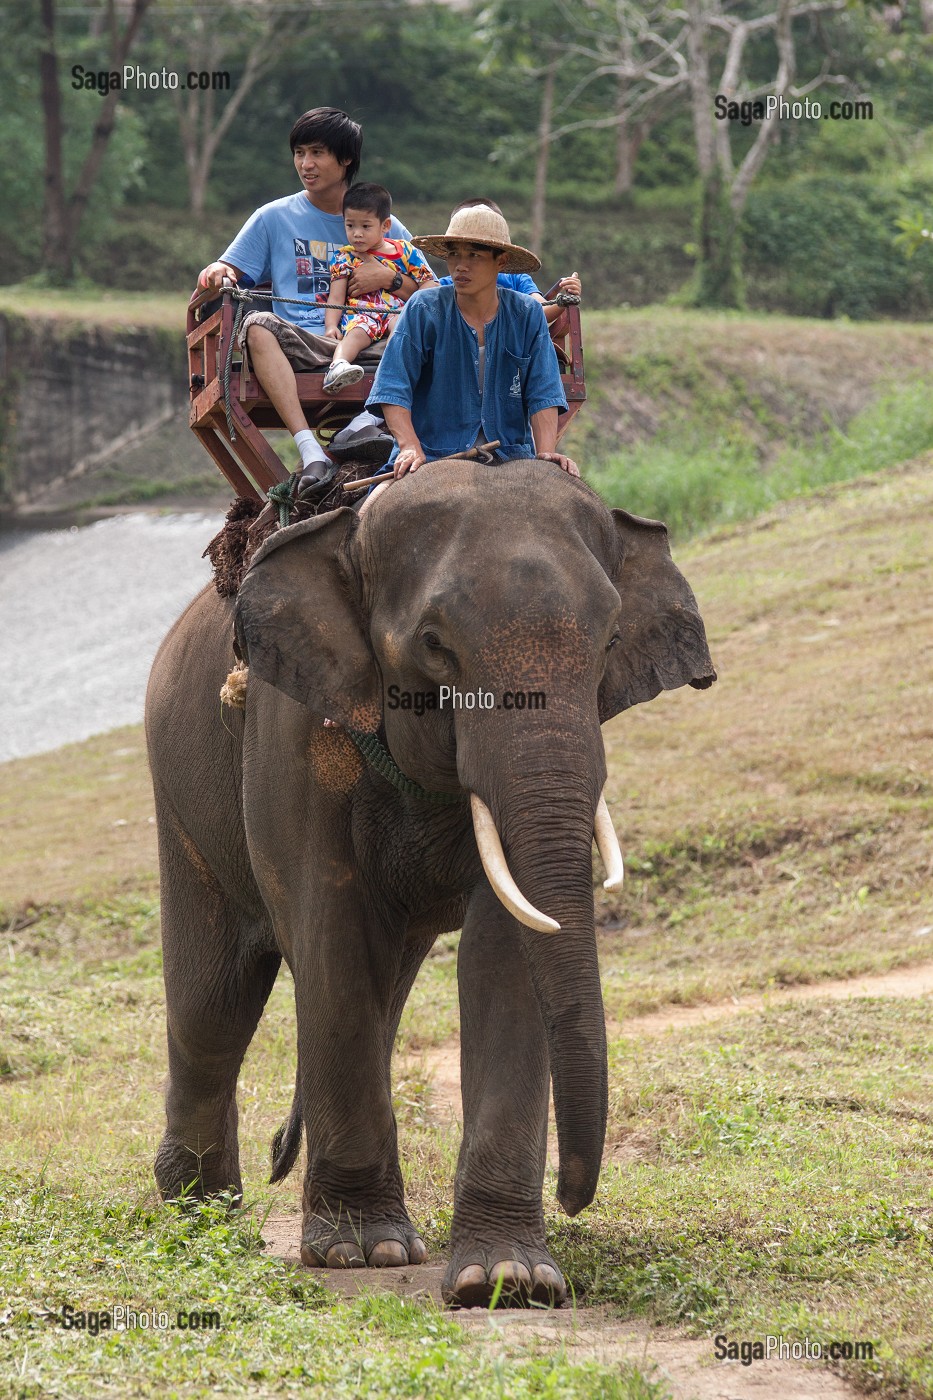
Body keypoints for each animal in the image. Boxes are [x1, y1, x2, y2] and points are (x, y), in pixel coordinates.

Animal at [145, 458, 715, 1308]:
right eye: (434, 645)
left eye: (609, 640)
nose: (574, 1197)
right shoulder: (292, 731)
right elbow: (329, 931)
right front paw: (363, 1252)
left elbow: (507, 946)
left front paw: (507, 1279)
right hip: (178, 790)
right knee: (214, 1003)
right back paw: (198, 1212)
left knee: (376, 991)